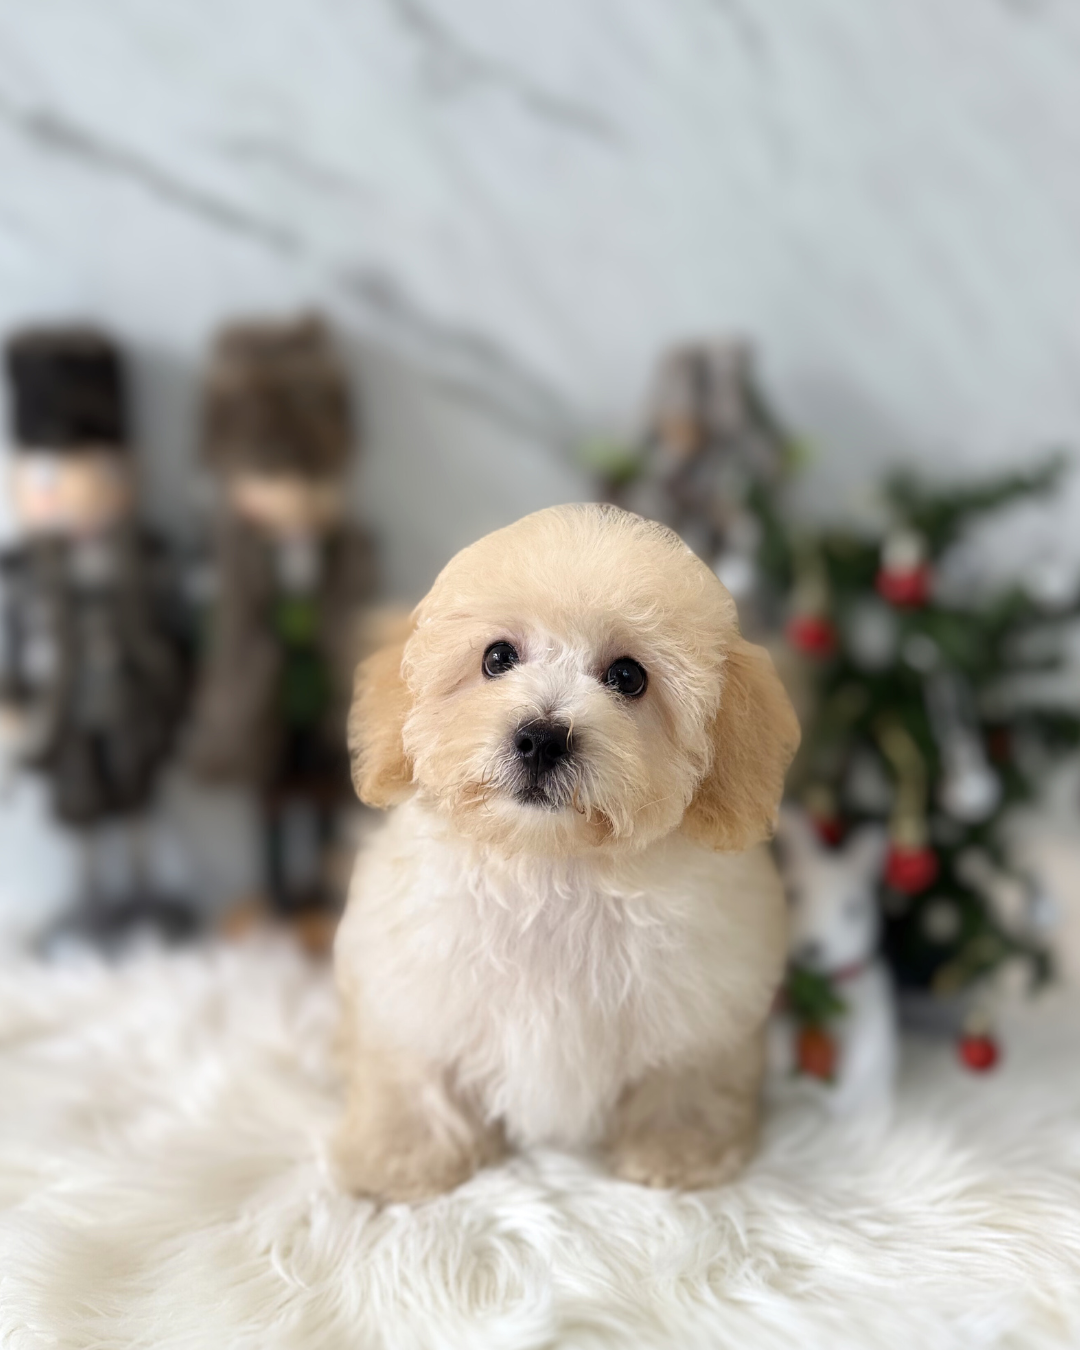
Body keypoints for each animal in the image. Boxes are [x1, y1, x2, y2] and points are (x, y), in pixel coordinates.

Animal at [333, 507, 799, 1204]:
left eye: (628, 677)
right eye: (497, 657)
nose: (541, 737)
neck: (551, 867)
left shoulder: (702, 999)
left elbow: (685, 1073)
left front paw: (675, 1150)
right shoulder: (414, 978)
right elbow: (415, 1071)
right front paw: (403, 1157)